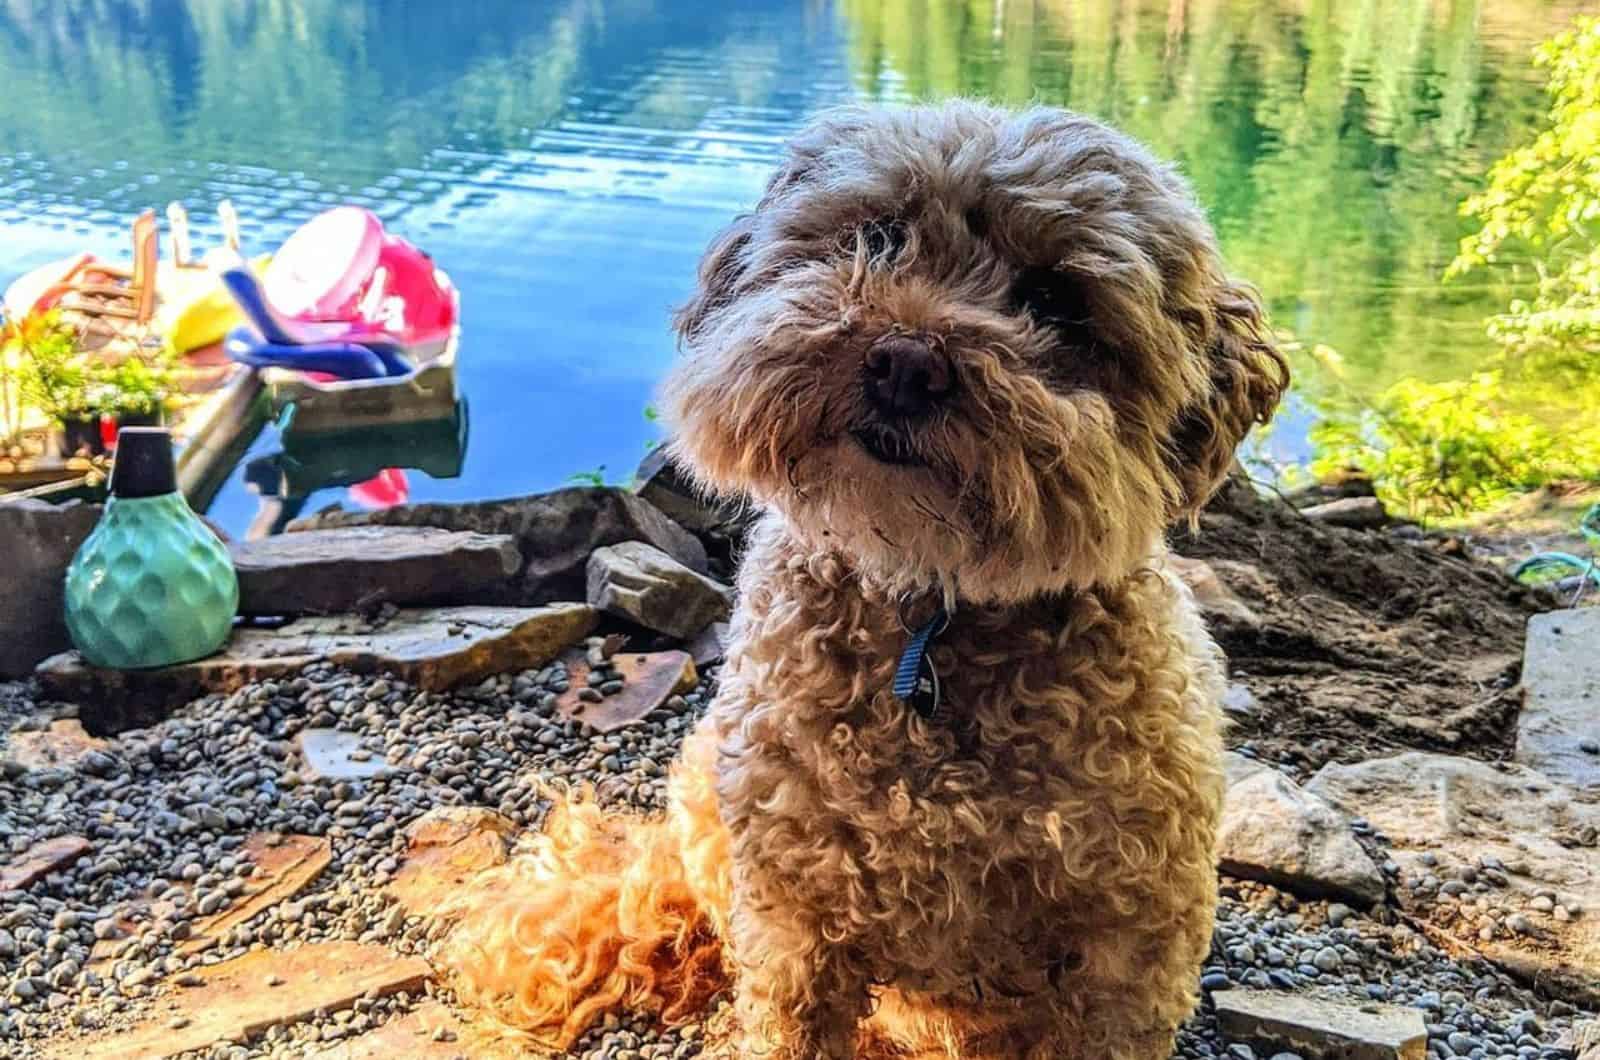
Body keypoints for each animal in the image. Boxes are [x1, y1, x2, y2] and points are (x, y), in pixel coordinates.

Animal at [448, 101, 1286, 1060]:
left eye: (1055, 301)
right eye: (876, 236)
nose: (906, 361)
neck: (933, 613)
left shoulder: (1129, 950)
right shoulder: (795, 918)